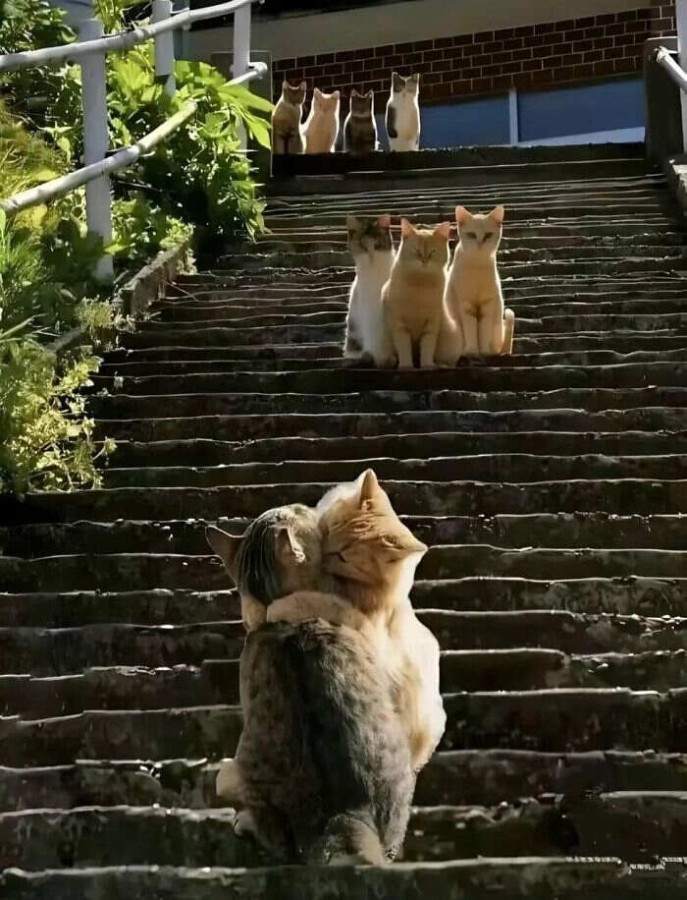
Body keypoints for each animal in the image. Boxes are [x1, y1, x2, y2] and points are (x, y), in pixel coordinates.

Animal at [446, 206, 516, 356]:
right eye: (472, 235)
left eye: (488, 235)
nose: (479, 243)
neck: (477, 265)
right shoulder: (466, 304)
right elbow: (471, 330)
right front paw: (472, 350)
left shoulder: (487, 304)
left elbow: (483, 331)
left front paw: (484, 351)